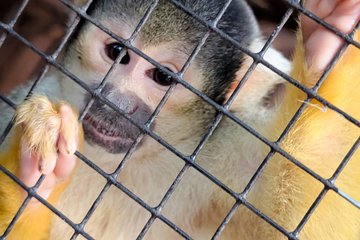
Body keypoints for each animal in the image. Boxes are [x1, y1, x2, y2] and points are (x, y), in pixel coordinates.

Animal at [0, 0, 358, 239]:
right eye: (116, 52)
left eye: (162, 76)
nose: (116, 102)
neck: (129, 165)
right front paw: (33, 175)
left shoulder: (229, 151)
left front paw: (327, 49)